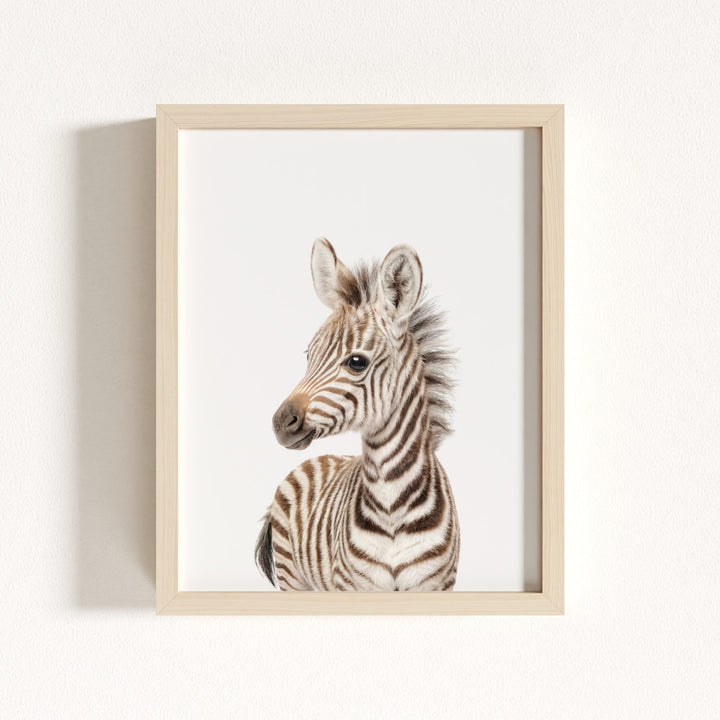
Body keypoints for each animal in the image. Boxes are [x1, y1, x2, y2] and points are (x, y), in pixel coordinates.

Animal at [255, 237, 460, 591]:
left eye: (356, 362)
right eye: (309, 354)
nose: (281, 423)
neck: (392, 505)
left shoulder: (436, 585)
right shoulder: (354, 585)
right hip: (292, 576)